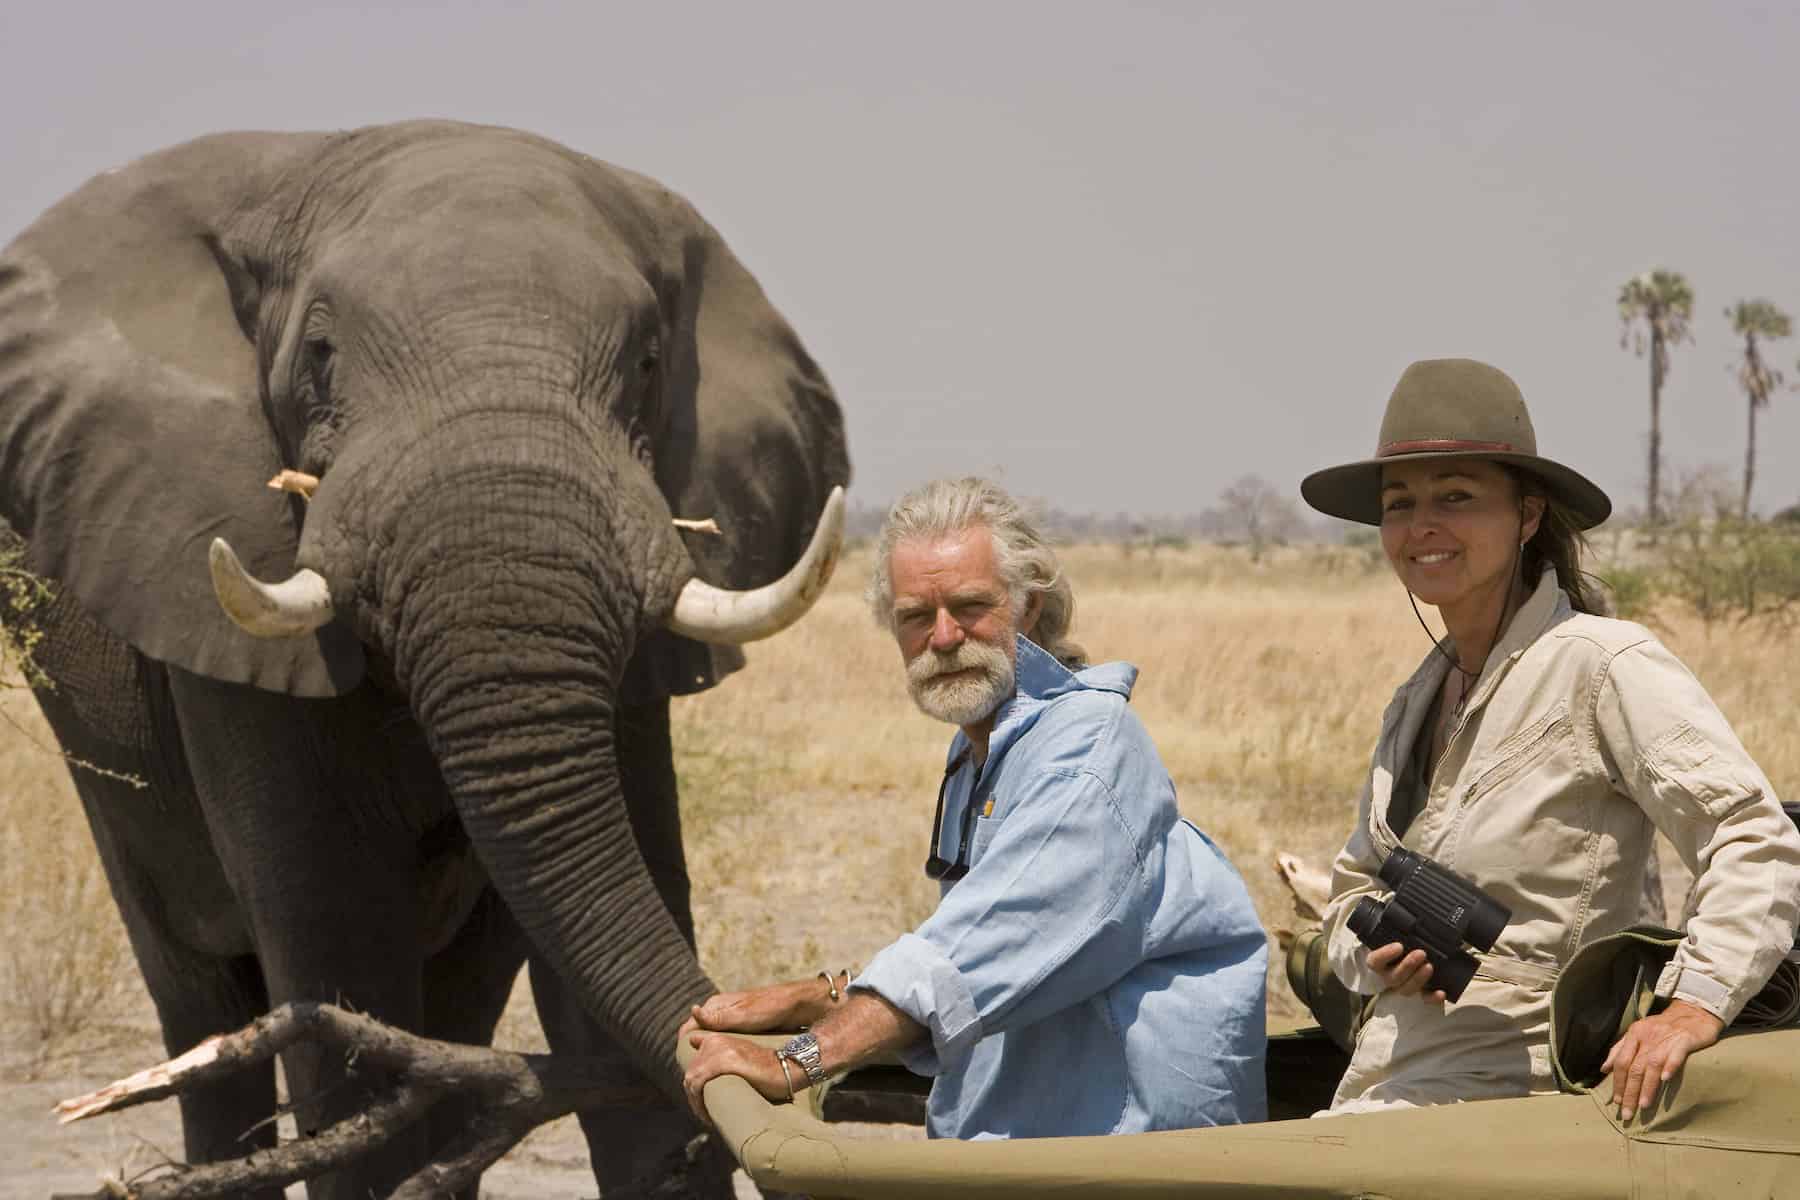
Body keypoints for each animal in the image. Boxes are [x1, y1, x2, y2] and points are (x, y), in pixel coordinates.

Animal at [0, 124, 849, 1200]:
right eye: (319, 356)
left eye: (651, 361)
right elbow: (340, 950)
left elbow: (615, 922)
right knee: (202, 1006)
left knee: (455, 1009)